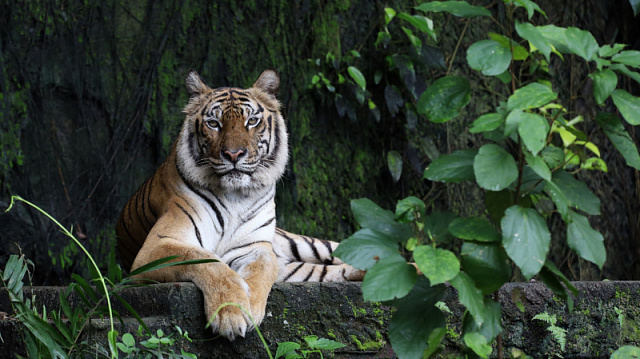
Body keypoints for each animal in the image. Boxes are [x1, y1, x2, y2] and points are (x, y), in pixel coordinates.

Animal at [115, 69, 364, 342]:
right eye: (214, 123)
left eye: (252, 121)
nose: (234, 154)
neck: (234, 196)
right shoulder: (156, 247)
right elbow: (207, 260)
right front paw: (231, 314)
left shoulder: (257, 247)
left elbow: (261, 269)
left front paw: (249, 306)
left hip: (301, 244)